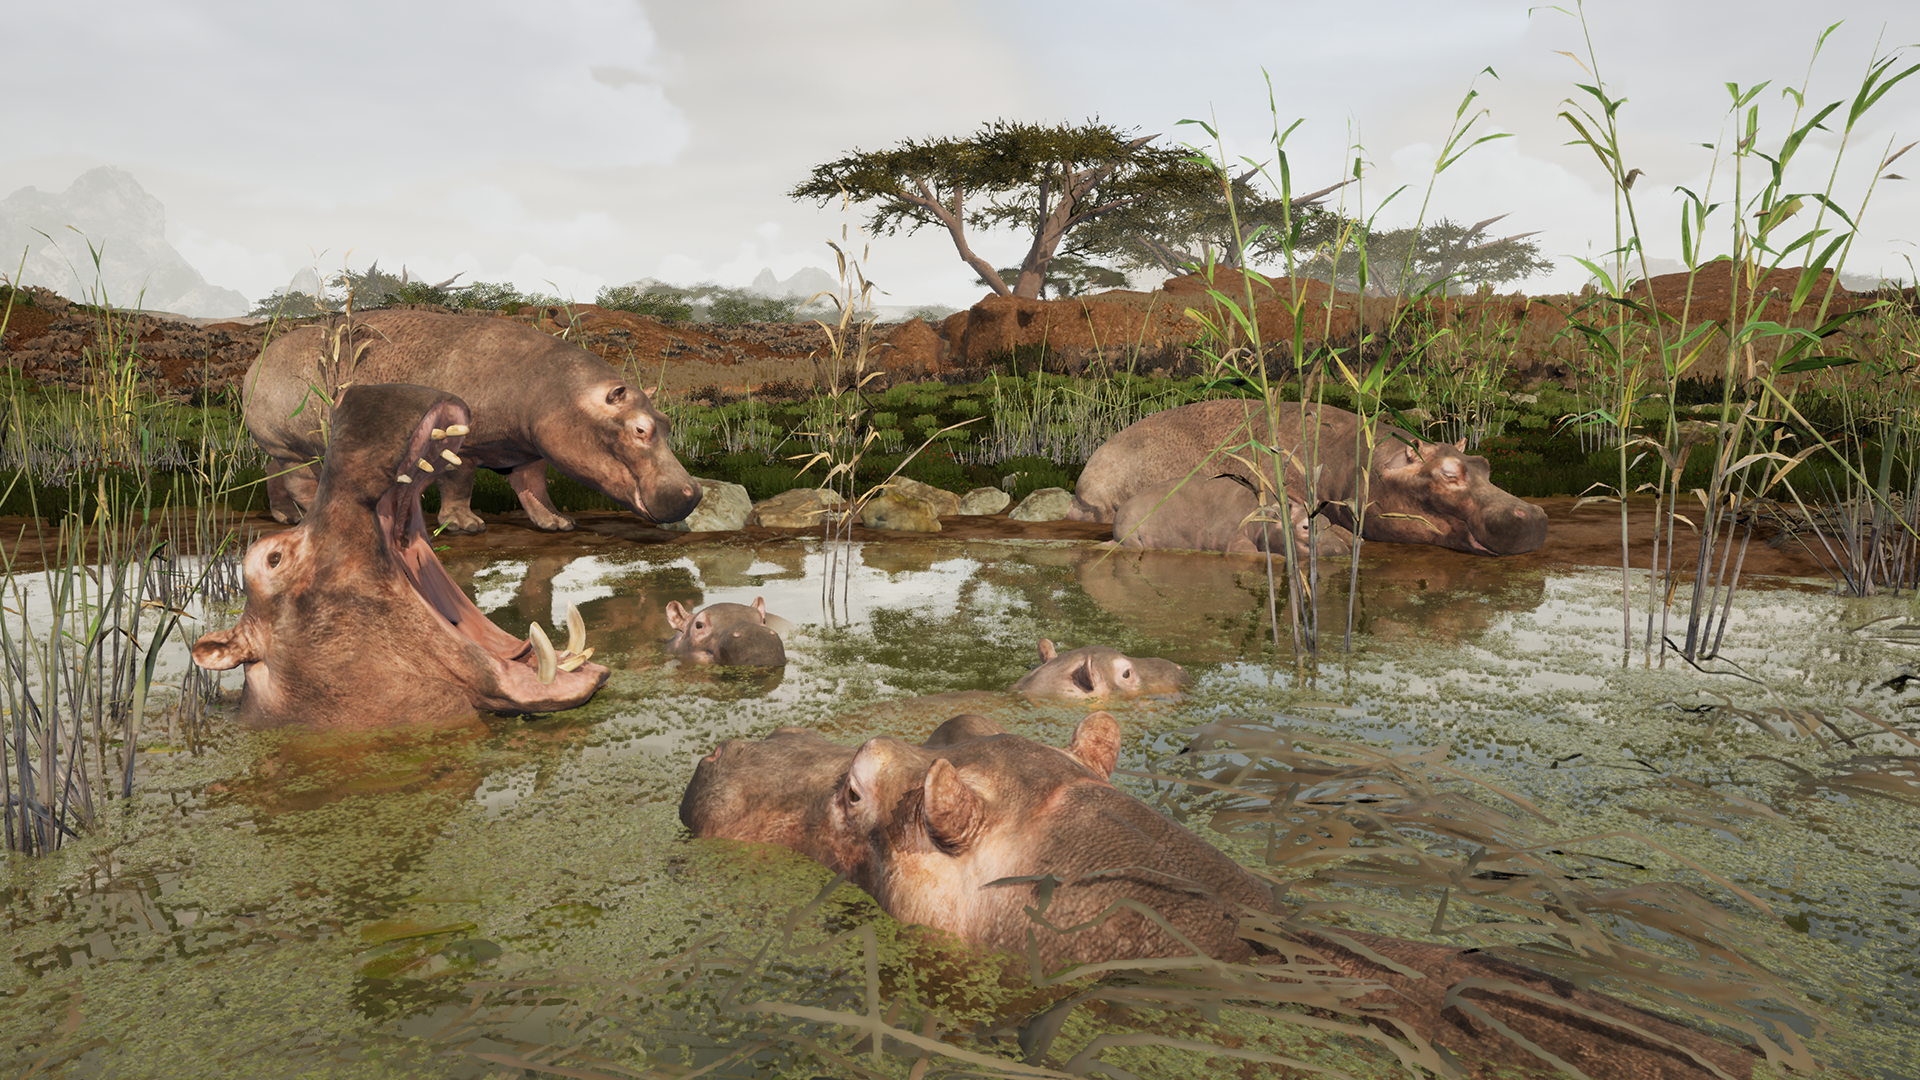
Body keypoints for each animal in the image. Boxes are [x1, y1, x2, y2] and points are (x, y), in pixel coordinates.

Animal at [245, 310, 701, 534]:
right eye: (639, 428)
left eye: (666, 420)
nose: (693, 492)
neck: (553, 390)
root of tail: (259, 359)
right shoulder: (465, 445)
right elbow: (458, 483)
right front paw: (467, 526)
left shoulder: (525, 451)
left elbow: (534, 488)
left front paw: (558, 524)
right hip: (292, 445)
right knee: (298, 480)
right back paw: (307, 516)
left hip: (280, 447)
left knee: (270, 472)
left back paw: (285, 518)